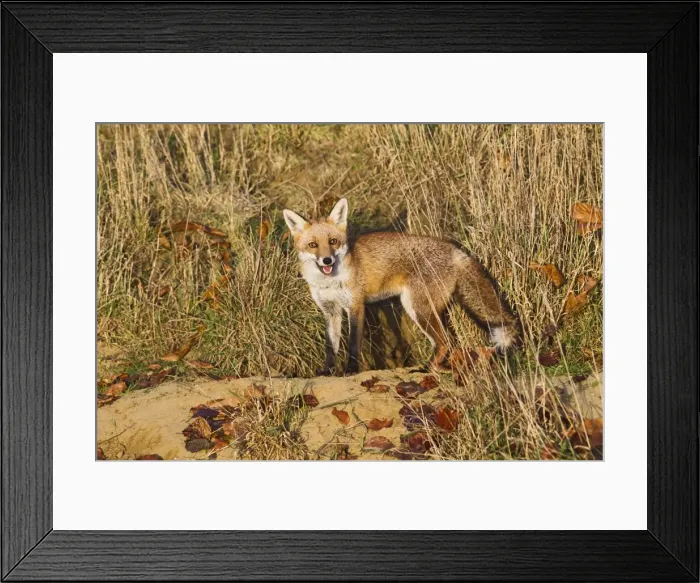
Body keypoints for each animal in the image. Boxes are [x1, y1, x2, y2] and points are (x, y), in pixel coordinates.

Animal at [283, 198, 518, 375]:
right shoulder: (331, 311)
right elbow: (330, 347)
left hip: (417, 307)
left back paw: (428, 368)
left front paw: (351, 370)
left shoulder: (355, 306)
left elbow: (352, 344)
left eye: (333, 241)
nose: (327, 261)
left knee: (446, 342)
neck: (329, 282)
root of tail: (454, 250)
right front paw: (327, 371)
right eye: (313, 245)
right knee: (445, 342)